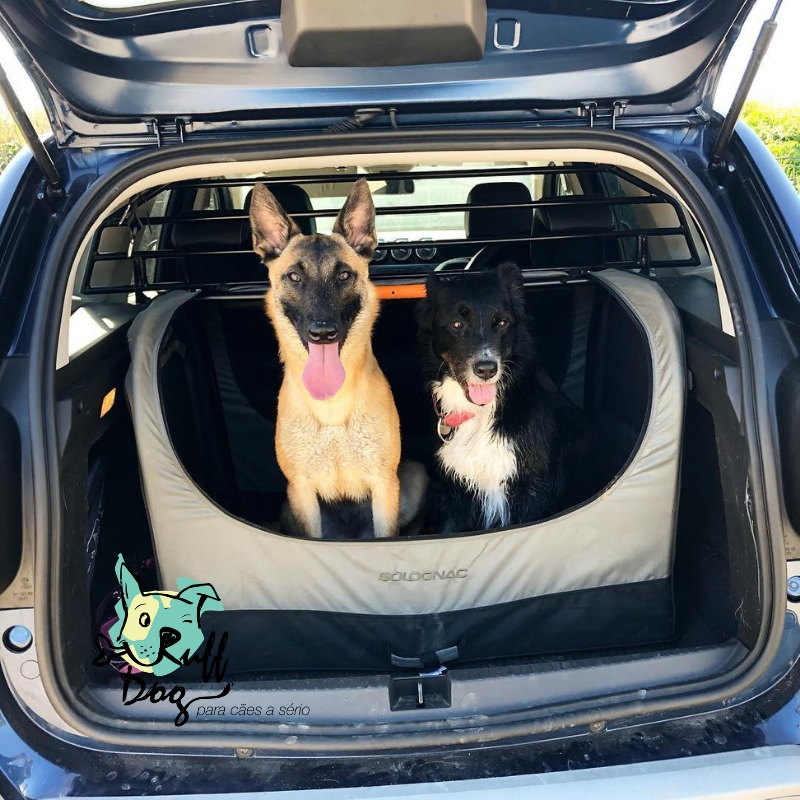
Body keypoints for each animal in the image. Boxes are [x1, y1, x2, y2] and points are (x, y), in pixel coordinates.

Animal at [250, 178, 413, 539]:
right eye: (294, 277)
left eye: (344, 276)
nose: (322, 332)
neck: (331, 408)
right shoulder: (301, 491)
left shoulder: (384, 487)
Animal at [417, 263, 591, 534]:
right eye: (456, 324)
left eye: (501, 322)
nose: (486, 369)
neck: (484, 413)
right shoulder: (455, 490)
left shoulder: (529, 491)